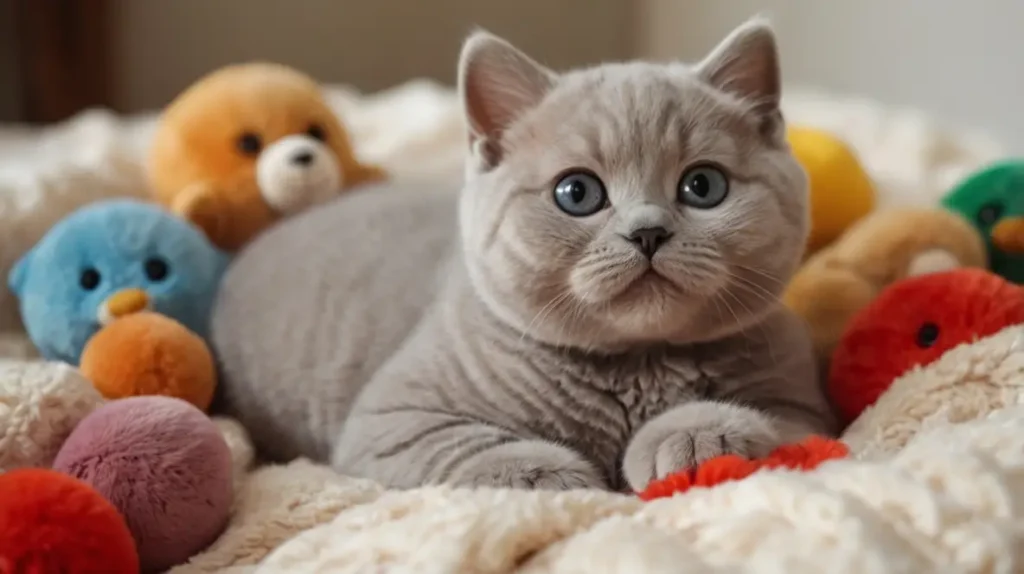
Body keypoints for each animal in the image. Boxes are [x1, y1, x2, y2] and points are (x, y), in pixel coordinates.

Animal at [211, 20, 835, 491]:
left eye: (703, 186)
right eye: (577, 193)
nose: (648, 233)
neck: (638, 367)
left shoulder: (802, 404)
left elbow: (776, 424)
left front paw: (696, 434)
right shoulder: (390, 423)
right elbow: (467, 449)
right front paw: (545, 474)